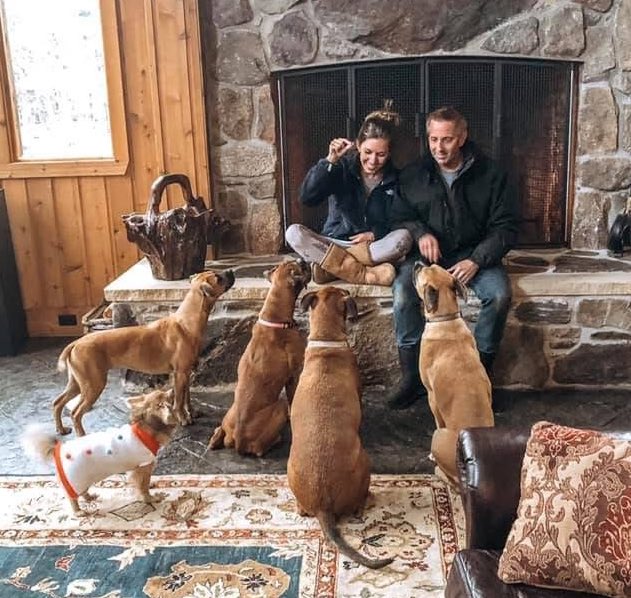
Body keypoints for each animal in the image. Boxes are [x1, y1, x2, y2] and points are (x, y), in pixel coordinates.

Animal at [23, 389, 177, 516]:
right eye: (167, 397)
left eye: (164, 392)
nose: (172, 389)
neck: (147, 427)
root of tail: (57, 449)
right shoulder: (143, 466)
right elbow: (143, 486)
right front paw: (150, 498)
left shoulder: (137, 469)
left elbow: (143, 482)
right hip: (75, 479)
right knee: (72, 497)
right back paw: (78, 512)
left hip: (82, 478)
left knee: (83, 492)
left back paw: (90, 498)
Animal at [53, 269, 235, 436]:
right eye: (217, 278)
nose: (231, 271)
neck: (187, 320)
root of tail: (75, 343)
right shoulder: (180, 374)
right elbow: (178, 401)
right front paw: (183, 419)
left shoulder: (185, 373)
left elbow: (186, 398)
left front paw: (191, 413)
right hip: (93, 385)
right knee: (76, 413)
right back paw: (82, 436)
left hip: (78, 383)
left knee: (57, 403)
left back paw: (61, 429)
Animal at [209, 260, 310, 457]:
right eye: (300, 267)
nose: (305, 261)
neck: (275, 316)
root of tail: (239, 440)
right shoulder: (293, 376)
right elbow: (293, 400)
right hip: (278, 405)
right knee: (261, 448)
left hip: (230, 411)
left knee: (220, 430)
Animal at [413, 263, 494, 486]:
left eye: (421, 274)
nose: (417, 264)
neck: (445, 319)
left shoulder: (432, 397)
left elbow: (437, 416)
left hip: (438, 436)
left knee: (446, 475)